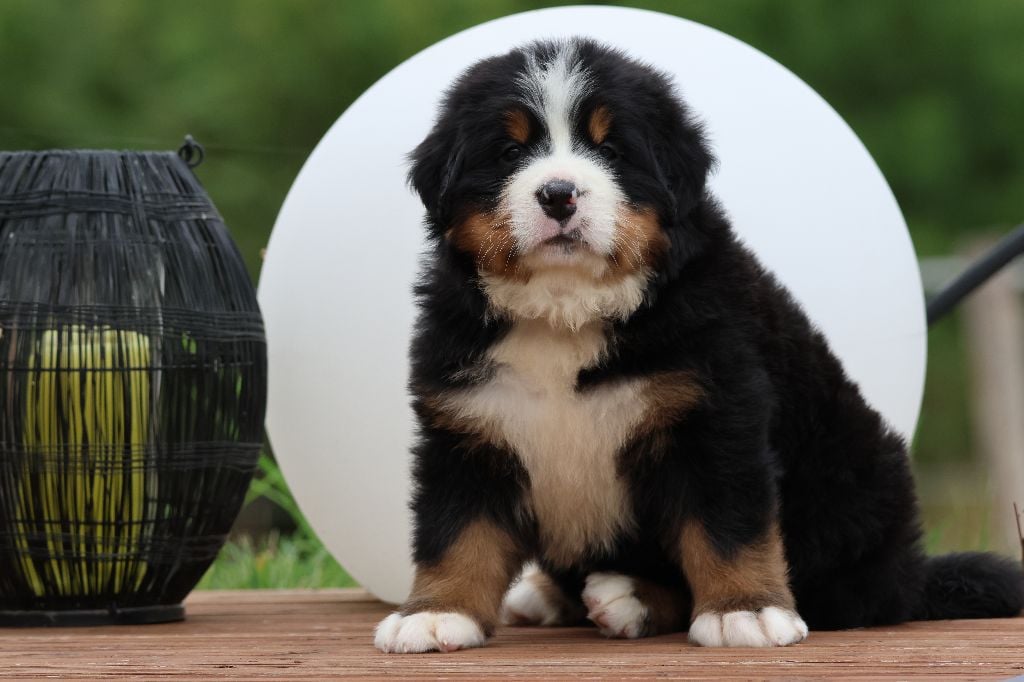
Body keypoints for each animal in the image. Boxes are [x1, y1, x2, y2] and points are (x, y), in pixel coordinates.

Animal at [374, 38, 1024, 653]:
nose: (559, 194)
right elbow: (456, 533)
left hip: (850, 483)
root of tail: (911, 574)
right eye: (510, 153)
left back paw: (629, 597)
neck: (566, 313)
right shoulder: (467, 428)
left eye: (612, 151)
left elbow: (726, 525)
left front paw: (744, 611)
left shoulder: (715, 413)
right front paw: (436, 613)